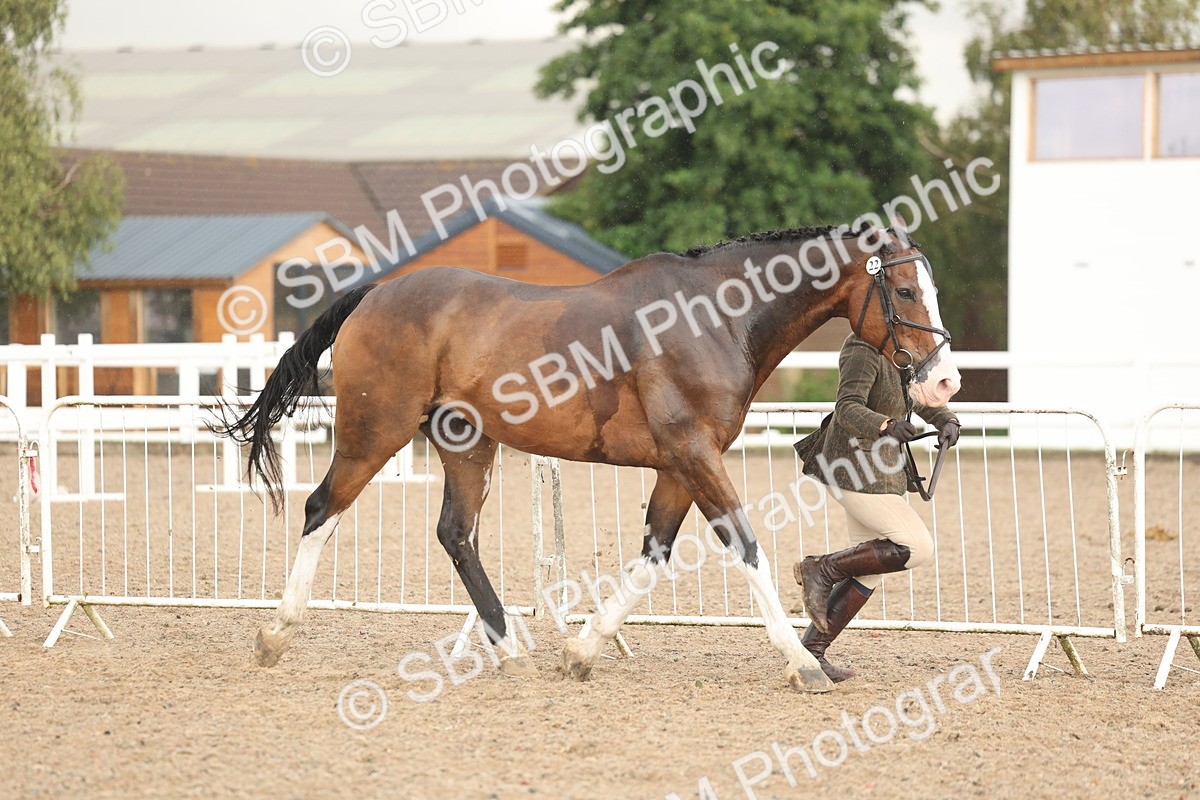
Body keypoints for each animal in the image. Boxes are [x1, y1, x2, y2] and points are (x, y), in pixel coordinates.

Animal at [214, 223, 960, 694]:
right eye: (903, 291)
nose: (945, 384)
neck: (714, 318)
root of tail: (376, 292)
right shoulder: (695, 456)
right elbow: (747, 549)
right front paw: (803, 666)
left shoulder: (678, 467)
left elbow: (652, 558)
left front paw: (579, 651)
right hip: (375, 430)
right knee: (323, 508)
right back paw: (276, 634)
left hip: (466, 443)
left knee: (456, 534)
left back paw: (510, 647)